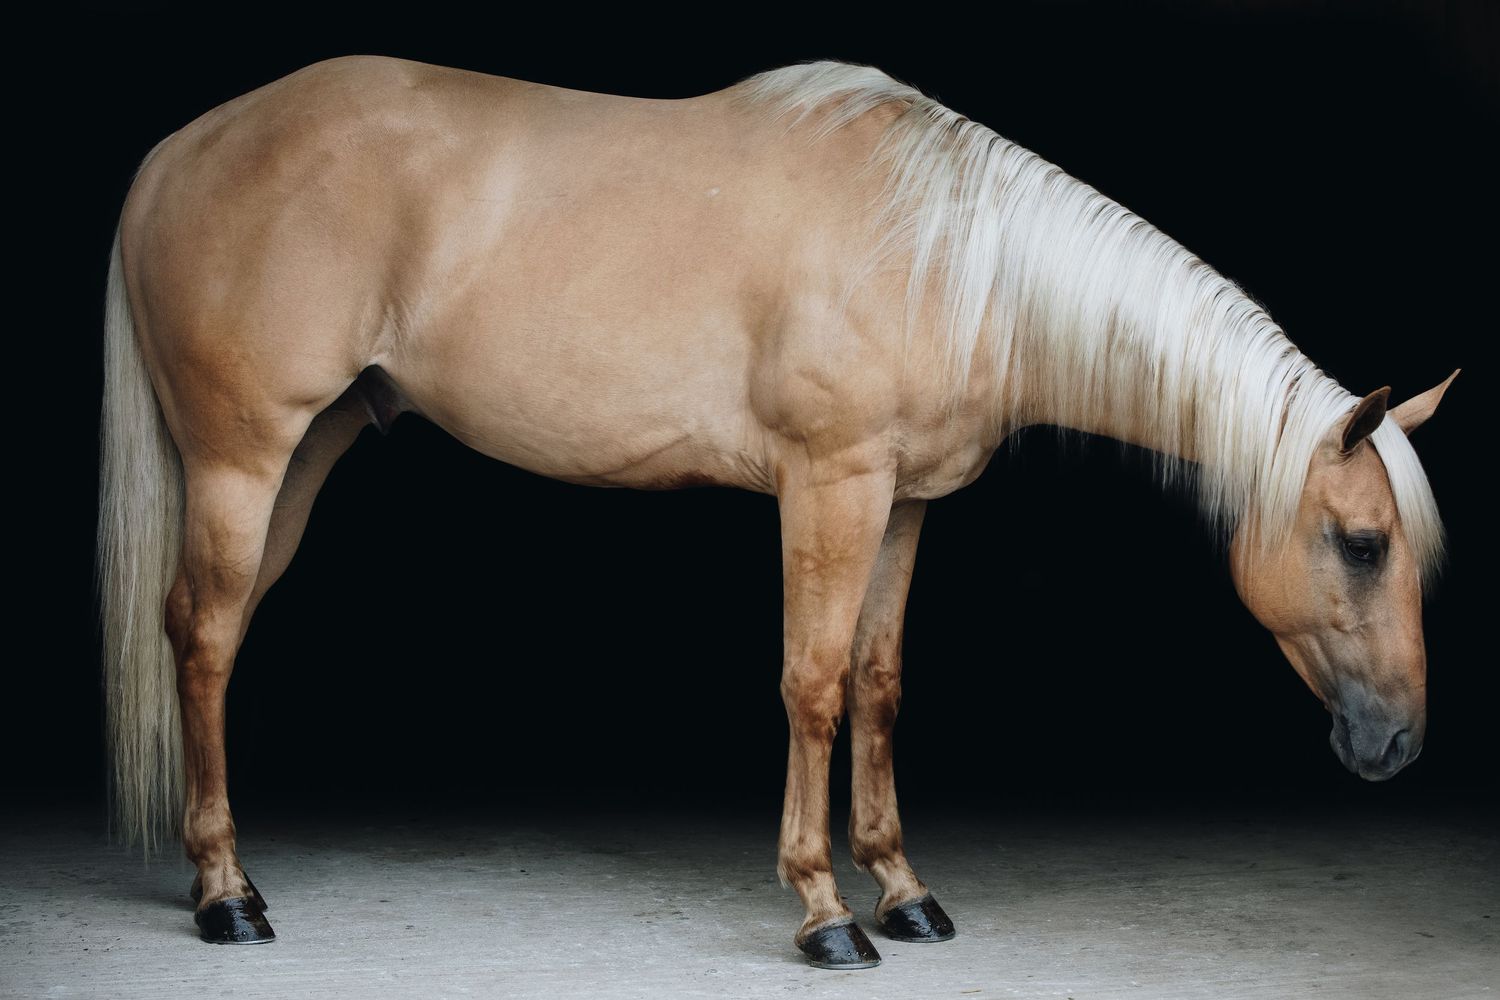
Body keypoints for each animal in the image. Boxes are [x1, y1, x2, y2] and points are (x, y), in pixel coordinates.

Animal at [98, 56, 1457, 969]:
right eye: (1361, 543)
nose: (1397, 746)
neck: (950, 254)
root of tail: (179, 149)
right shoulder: (830, 483)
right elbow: (811, 683)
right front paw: (824, 910)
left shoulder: (902, 504)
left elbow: (878, 684)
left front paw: (904, 891)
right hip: (242, 457)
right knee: (204, 636)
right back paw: (227, 894)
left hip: (309, 450)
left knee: (213, 633)